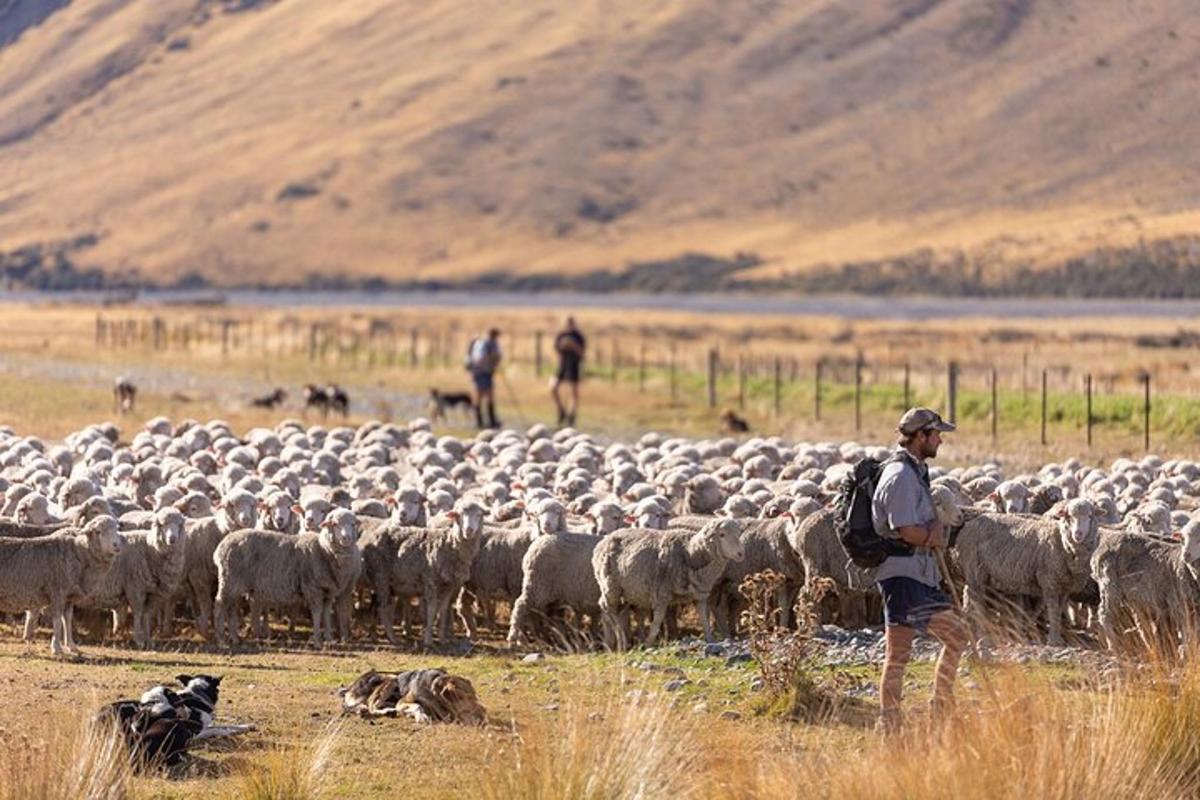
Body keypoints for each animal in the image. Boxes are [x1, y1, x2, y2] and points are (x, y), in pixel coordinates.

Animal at [0, 520, 123, 657]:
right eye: (98, 531)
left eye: (117, 529)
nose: (117, 545)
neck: (79, 552)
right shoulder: (57, 591)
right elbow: (57, 620)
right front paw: (56, 647)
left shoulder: (68, 596)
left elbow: (67, 620)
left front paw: (71, 646)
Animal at [213, 510, 360, 647]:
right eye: (334, 524)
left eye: (353, 524)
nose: (346, 538)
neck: (323, 550)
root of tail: (221, 546)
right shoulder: (313, 589)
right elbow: (317, 613)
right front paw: (318, 640)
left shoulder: (328, 592)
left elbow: (326, 614)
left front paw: (329, 639)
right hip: (229, 579)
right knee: (220, 605)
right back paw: (221, 639)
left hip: (234, 584)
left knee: (231, 607)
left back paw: (234, 638)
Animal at [338, 666, 487, 729]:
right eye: (466, 697)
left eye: (474, 695)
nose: (485, 713)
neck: (433, 687)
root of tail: (350, 687)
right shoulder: (402, 702)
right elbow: (417, 706)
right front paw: (422, 717)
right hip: (390, 678)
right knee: (371, 706)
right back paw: (385, 711)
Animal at [595, 520, 744, 652]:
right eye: (722, 534)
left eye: (739, 533)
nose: (740, 554)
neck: (690, 553)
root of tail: (604, 540)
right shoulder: (661, 594)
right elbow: (656, 623)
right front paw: (649, 644)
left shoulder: (700, 594)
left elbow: (704, 620)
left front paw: (710, 640)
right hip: (610, 585)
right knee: (607, 608)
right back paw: (621, 640)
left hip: (628, 592)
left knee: (611, 613)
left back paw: (617, 644)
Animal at [950, 496, 1099, 647]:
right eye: (1069, 516)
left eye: (1090, 516)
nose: (1078, 534)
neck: (1061, 540)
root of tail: (968, 526)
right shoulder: (1050, 582)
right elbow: (1053, 610)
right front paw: (1054, 640)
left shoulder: (1065, 587)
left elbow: (1055, 609)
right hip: (975, 571)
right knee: (978, 603)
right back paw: (983, 637)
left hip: (978, 575)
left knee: (969, 598)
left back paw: (972, 630)